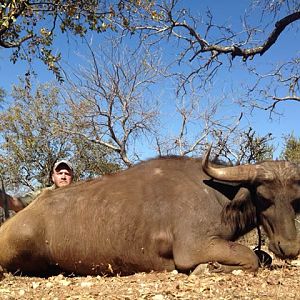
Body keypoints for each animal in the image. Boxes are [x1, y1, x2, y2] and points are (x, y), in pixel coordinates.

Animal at [0, 146, 298, 276]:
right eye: (263, 197)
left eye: (296, 200)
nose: (290, 247)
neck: (219, 194)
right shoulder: (193, 248)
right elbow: (251, 257)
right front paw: (208, 268)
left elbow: (263, 256)